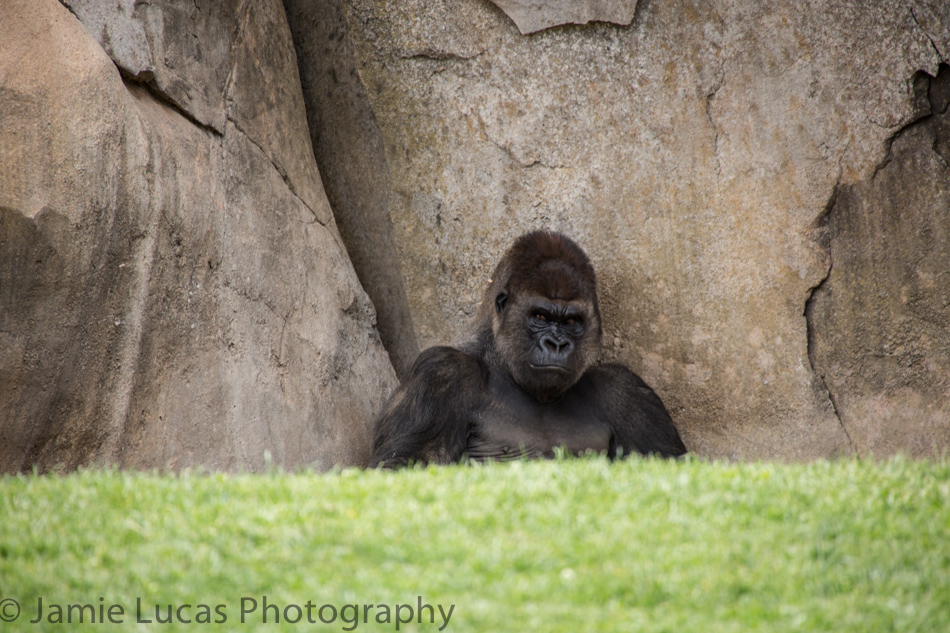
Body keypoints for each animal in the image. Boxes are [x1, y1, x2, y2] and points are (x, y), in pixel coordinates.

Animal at [371, 230, 686, 467]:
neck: (503, 364)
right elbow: (407, 461)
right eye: (540, 317)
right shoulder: (440, 373)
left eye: (571, 322)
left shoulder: (627, 391)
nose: (557, 344)